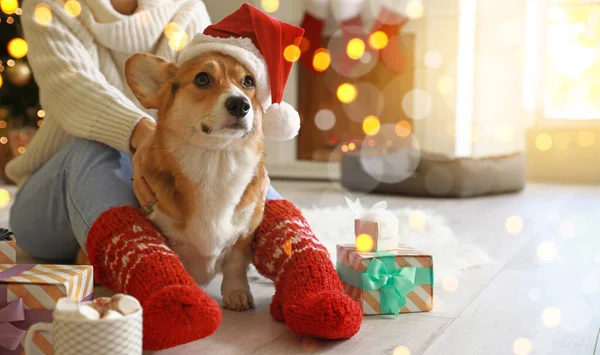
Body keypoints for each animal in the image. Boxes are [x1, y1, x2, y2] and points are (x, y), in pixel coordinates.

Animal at [124, 51, 270, 312]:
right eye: (202, 79)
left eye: (249, 81)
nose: (240, 104)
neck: (215, 163)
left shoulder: (245, 235)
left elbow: (235, 265)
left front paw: (237, 294)